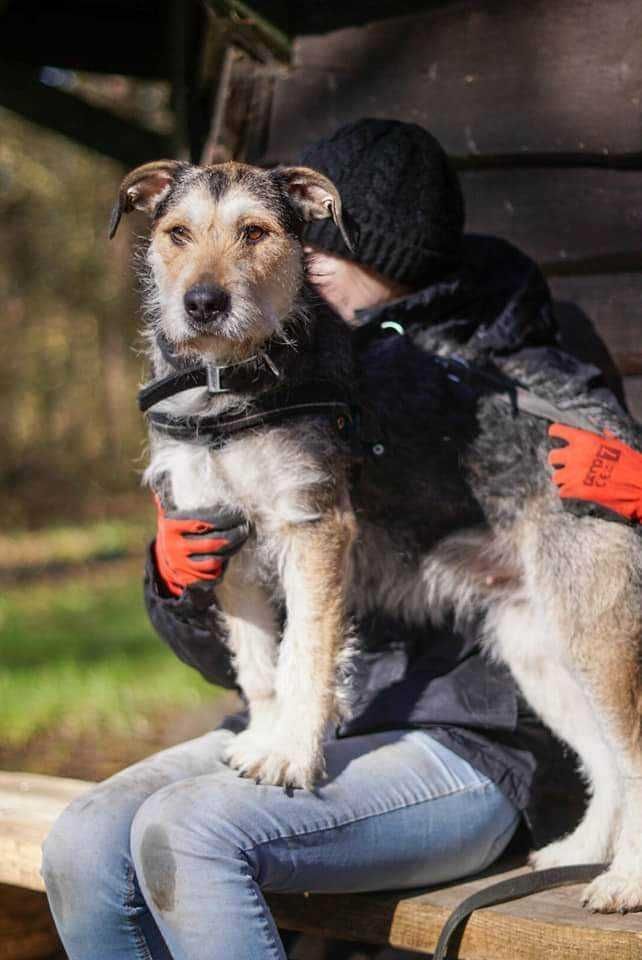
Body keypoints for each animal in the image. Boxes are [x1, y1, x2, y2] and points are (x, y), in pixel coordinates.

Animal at [110, 161, 640, 912]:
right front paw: (265, 738)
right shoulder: (223, 544)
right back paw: (582, 852)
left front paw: (294, 755)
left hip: (596, 632)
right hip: (538, 651)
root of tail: (614, 431)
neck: (229, 389)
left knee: (632, 754)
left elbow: (305, 655)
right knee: (604, 759)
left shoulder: (315, 530)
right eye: (176, 233)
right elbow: (258, 667)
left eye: (256, 232)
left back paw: (626, 879)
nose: (203, 303)